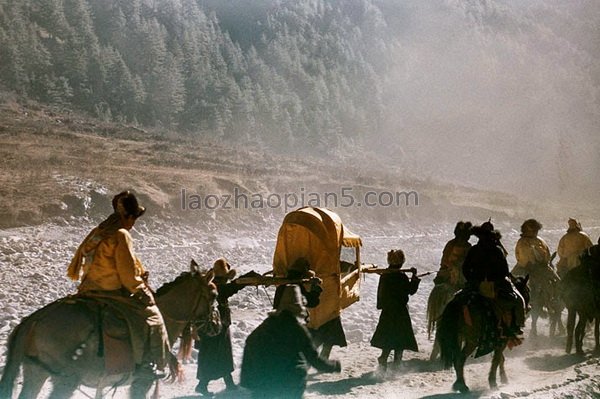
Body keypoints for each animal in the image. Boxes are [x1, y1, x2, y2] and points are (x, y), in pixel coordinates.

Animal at [0, 262, 218, 399]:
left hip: (36, 372)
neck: (164, 316)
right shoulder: (143, 380)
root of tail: (33, 320)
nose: (217, 325)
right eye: (214, 294)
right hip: (65, 380)